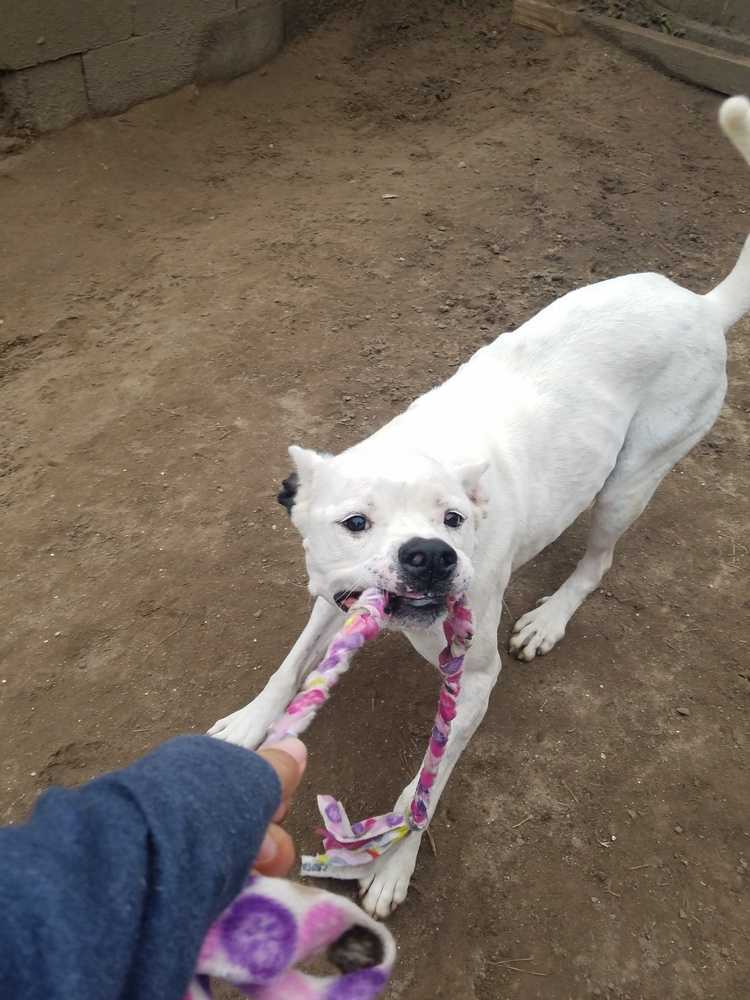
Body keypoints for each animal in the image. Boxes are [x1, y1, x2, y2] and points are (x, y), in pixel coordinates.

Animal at [210, 97, 750, 916]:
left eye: (454, 523)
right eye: (355, 523)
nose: (429, 556)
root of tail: (700, 305)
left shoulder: (473, 683)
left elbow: (422, 789)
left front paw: (391, 865)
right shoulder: (334, 594)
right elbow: (292, 663)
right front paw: (249, 722)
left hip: (631, 478)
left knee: (598, 560)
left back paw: (551, 615)